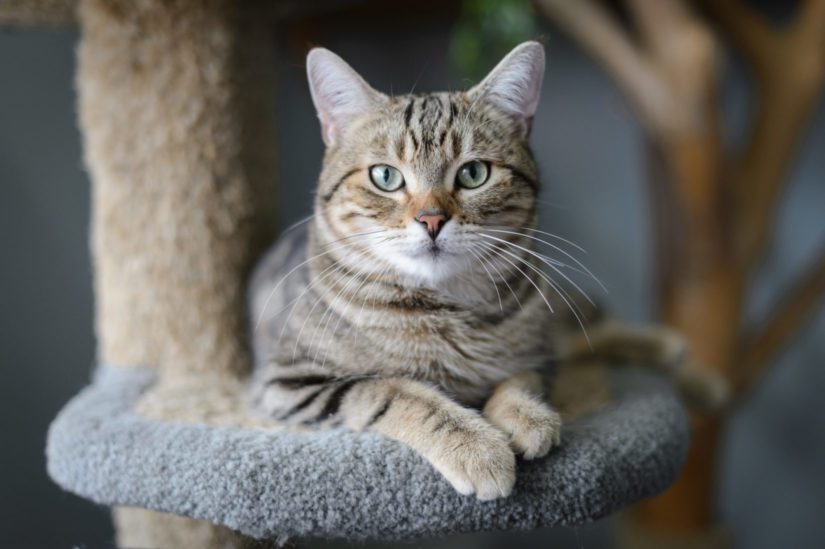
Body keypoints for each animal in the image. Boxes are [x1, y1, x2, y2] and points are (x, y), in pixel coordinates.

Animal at [248, 40, 576, 498]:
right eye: (385, 176)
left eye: (474, 173)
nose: (432, 219)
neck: (445, 310)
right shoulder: (287, 383)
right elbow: (397, 390)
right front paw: (476, 446)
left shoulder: (543, 354)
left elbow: (520, 378)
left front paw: (527, 416)